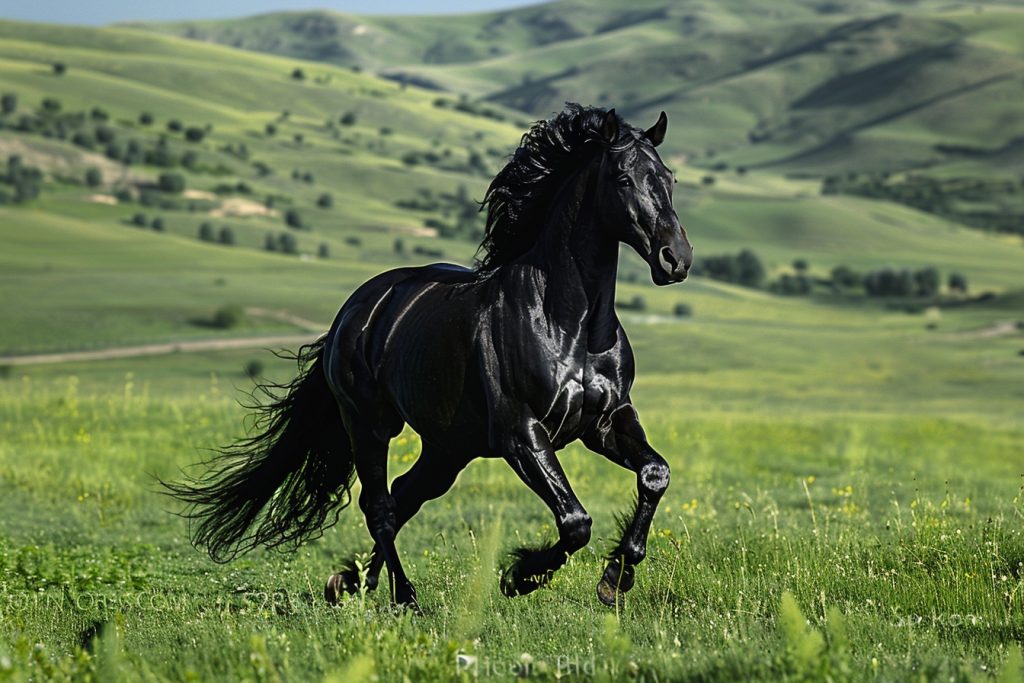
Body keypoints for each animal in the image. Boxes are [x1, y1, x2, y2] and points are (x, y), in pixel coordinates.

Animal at [165, 104, 693, 611]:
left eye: (669, 178)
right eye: (623, 178)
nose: (676, 259)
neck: (570, 325)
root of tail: (355, 310)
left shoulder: (605, 422)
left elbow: (655, 474)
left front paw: (615, 578)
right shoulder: (521, 435)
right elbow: (575, 521)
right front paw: (520, 577)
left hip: (448, 448)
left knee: (403, 497)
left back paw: (351, 583)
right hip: (371, 426)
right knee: (380, 506)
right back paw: (403, 597)